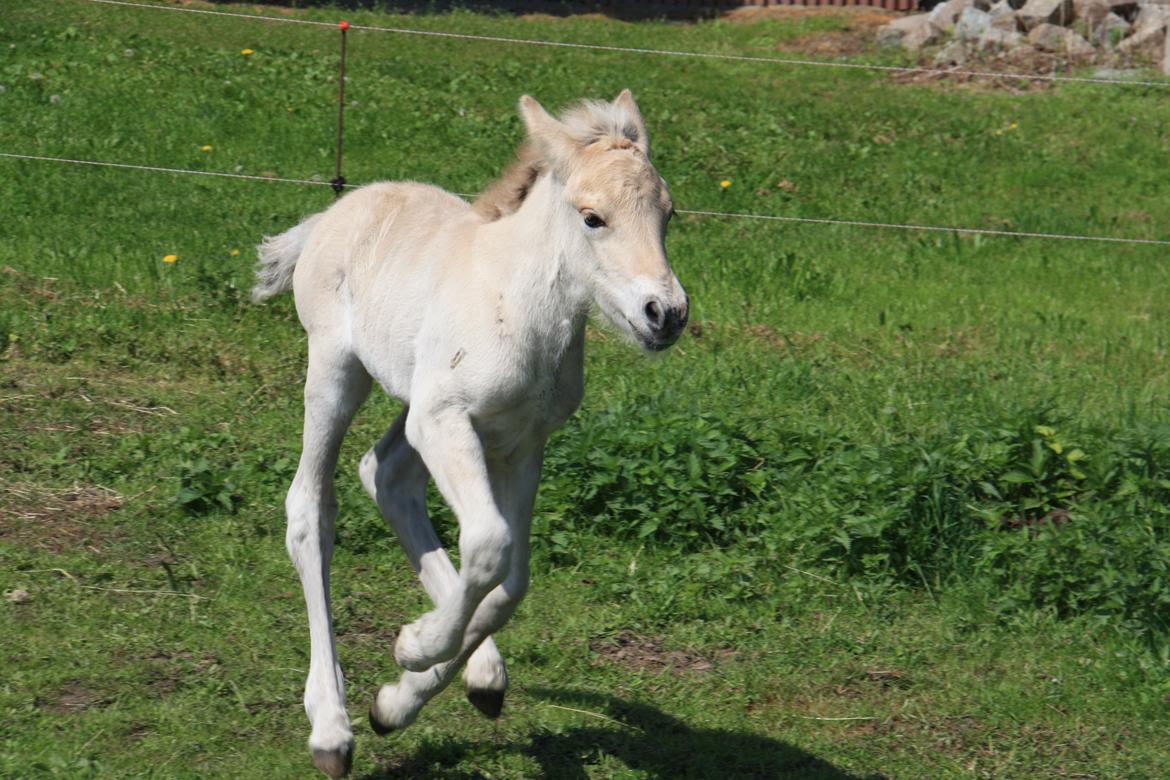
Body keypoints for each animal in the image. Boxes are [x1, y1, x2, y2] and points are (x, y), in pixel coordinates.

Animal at [253, 91, 683, 776]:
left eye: (668, 214)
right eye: (593, 218)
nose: (666, 315)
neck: (520, 306)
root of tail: (331, 215)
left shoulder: (521, 443)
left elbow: (511, 583)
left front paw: (398, 700)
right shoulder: (448, 418)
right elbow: (487, 544)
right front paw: (412, 645)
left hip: (416, 398)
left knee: (387, 475)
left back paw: (477, 677)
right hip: (339, 374)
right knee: (310, 509)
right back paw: (330, 726)